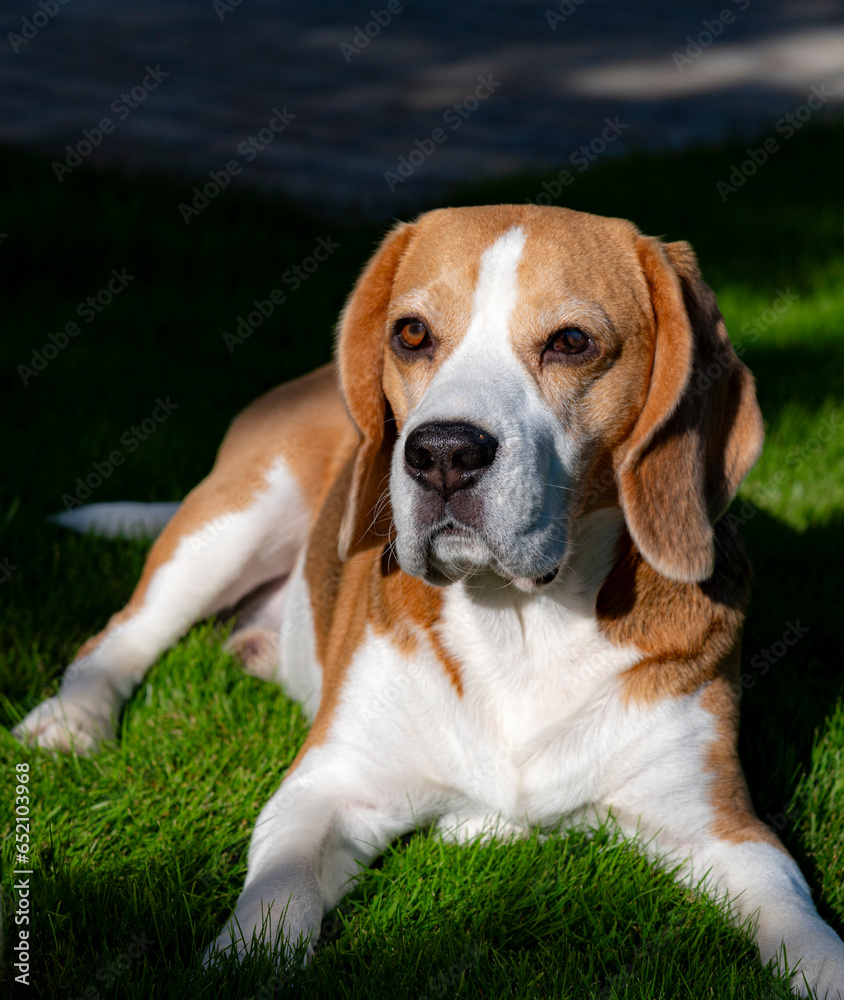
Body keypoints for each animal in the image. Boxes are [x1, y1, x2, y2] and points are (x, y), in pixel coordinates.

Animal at [13, 207, 844, 996]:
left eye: (572, 342)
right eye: (411, 333)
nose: (442, 452)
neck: (522, 624)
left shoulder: (723, 827)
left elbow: (799, 921)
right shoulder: (326, 786)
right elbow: (278, 893)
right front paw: (241, 963)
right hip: (235, 517)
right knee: (120, 634)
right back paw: (71, 719)